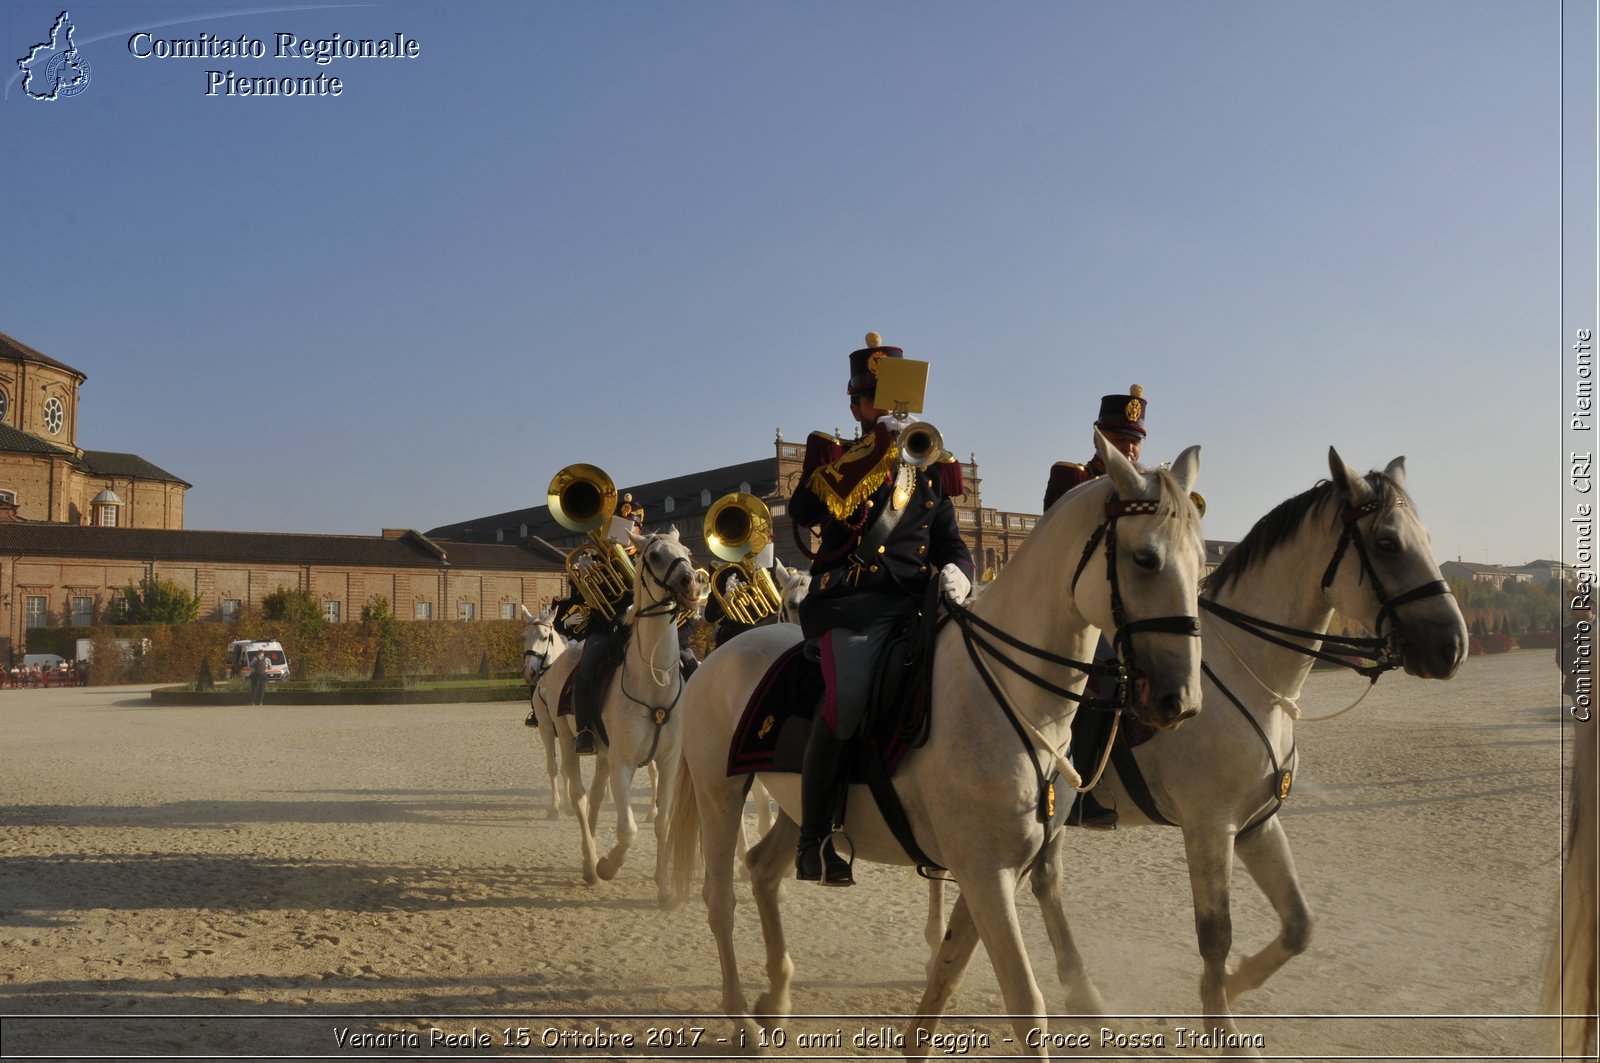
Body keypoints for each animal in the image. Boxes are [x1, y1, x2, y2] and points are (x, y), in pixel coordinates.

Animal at [560, 528, 710, 902]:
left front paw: (664, 886)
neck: (654, 680)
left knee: (595, 797)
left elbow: (662, 821)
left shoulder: (668, 762)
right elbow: (627, 829)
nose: (693, 582)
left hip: (603, 756)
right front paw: (608, 866)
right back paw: (591, 865)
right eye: (654, 555)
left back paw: (590, 854)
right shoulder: (624, 762)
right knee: (579, 797)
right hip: (568, 742)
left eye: (686, 551)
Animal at [668, 435, 1203, 1050]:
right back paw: (744, 1023)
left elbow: (950, 972)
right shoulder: (986, 871)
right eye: (1145, 559)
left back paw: (776, 997)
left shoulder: (999, 867)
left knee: (761, 869)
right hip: (719, 791)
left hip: (800, 801)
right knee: (720, 900)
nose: (1181, 700)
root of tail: (722, 651)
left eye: (1199, 561)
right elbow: (1025, 1003)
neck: (1013, 697)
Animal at [921, 445, 1465, 1050]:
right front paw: (1221, 1012)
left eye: (1428, 538)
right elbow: (1215, 934)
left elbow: (1299, 924)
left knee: (1041, 882)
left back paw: (1076, 990)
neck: (1250, 676)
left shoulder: (1256, 821)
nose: (1453, 644)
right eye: (1389, 543)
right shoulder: (1210, 824)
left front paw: (1239, 981)